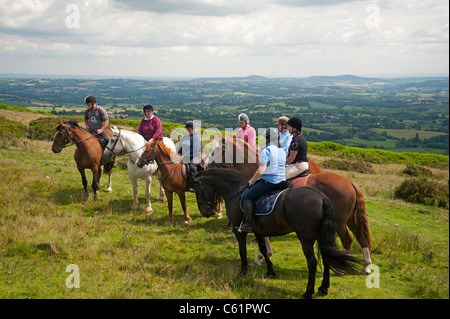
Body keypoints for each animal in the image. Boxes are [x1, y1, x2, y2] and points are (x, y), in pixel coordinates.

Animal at [193, 170, 362, 300]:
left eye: (197, 189)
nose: (206, 212)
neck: (236, 191)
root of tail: (322, 198)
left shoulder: (239, 231)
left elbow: (242, 251)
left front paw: (243, 271)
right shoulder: (259, 231)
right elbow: (264, 250)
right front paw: (270, 272)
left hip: (306, 239)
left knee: (312, 262)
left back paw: (308, 292)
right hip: (322, 237)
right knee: (326, 260)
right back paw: (323, 289)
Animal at [202, 136, 370, 274]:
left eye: (217, 150)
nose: (205, 165)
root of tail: (350, 182)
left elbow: (263, 238)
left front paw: (261, 257)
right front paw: (264, 257)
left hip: (340, 221)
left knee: (347, 240)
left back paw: (340, 267)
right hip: (349, 219)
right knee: (361, 236)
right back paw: (366, 266)